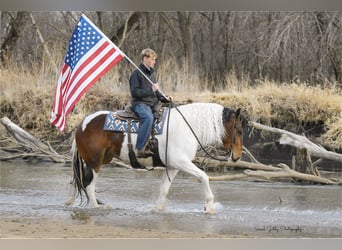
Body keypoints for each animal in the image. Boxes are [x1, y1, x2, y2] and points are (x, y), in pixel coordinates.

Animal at [65, 102, 246, 214]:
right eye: (239, 130)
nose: (237, 156)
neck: (187, 127)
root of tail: (82, 124)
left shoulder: (173, 167)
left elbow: (164, 189)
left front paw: (156, 209)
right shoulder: (182, 162)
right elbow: (204, 176)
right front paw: (209, 206)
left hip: (100, 159)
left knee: (75, 181)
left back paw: (69, 202)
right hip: (94, 162)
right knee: (88, 185)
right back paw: (96, 207)